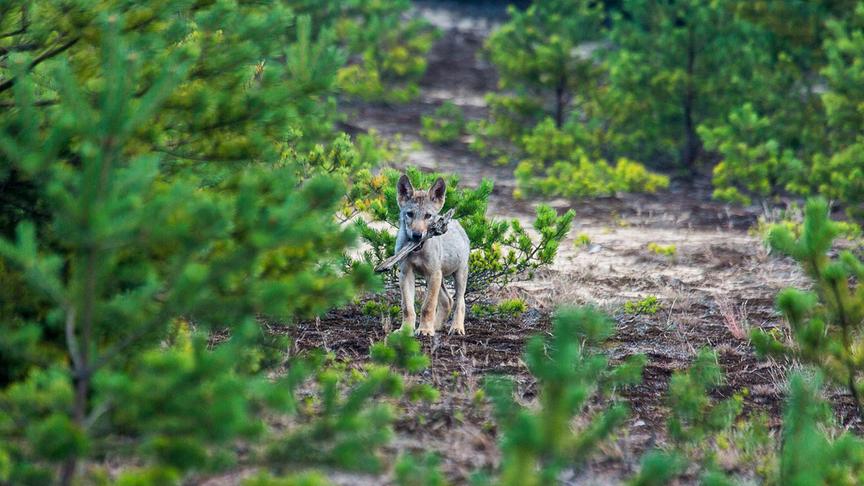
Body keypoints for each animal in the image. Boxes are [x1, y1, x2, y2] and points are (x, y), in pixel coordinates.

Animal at [395, 174, 470, 336]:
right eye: (409, 214)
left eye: (428, 216)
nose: (417, 235)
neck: (418, 251)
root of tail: (457, 223)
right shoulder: (406, 273)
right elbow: (407, 308)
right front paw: (406, 330)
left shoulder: (433, 274)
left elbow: (427, 306)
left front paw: (424, 330)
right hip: (438, 278)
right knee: (448, 300)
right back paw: (436, 327)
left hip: (458, 275)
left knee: (460, 302)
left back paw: (456, 328)